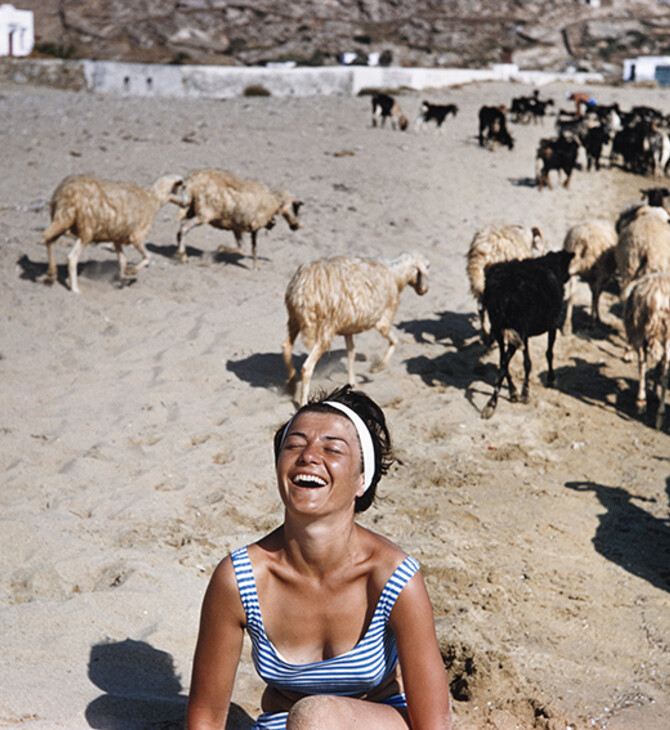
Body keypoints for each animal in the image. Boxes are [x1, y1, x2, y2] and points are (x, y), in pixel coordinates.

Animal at [42, 172, 184, 292]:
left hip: (62, 220)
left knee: (48, 239)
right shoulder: (137, 236)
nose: (185, 204)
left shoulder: (117, 239)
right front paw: (131, 272)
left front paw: (122, 279)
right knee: (71, 257)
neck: (153, 199)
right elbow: (148, 257)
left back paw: (51, 274)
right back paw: (75, 289)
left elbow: (123, 260)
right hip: (86, 229)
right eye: (183, 188)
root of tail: (68, 195)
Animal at [175, 168, 304, 268]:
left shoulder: (237, 227)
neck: (275, 202)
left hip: (191, 210)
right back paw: (182, 255)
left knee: (181, 227)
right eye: (296, 207)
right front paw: (222, 249)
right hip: (204, 214)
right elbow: (251, 249)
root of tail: (193, 181)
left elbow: (244, 248)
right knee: (184, 228)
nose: (295, 226)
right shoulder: (254, 226)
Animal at [282, 252, 430, 404]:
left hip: (294, 320)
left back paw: (291, 385)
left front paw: (352, 382)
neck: (396, 275)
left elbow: (351, 352)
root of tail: (303, 288)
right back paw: (302, 402)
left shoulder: (348, 327)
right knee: (307, 367)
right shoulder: (383, 320)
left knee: (286, 345)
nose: (424, 290)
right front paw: (378, 367)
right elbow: (395, 341)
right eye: (427, 266)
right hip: (326, 327)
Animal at [480, 250, 576, 418]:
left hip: (500, 329)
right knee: (505, 362)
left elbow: (526, 362)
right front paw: (551, 379)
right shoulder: (552, 325)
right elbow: (549, 353)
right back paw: (496, 401)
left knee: (503, 361)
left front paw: (523, 391)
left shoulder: (524, 334)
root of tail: (503, 292)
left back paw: (512, 392)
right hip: (515, 330)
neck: (549, 263)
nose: (568, 277)